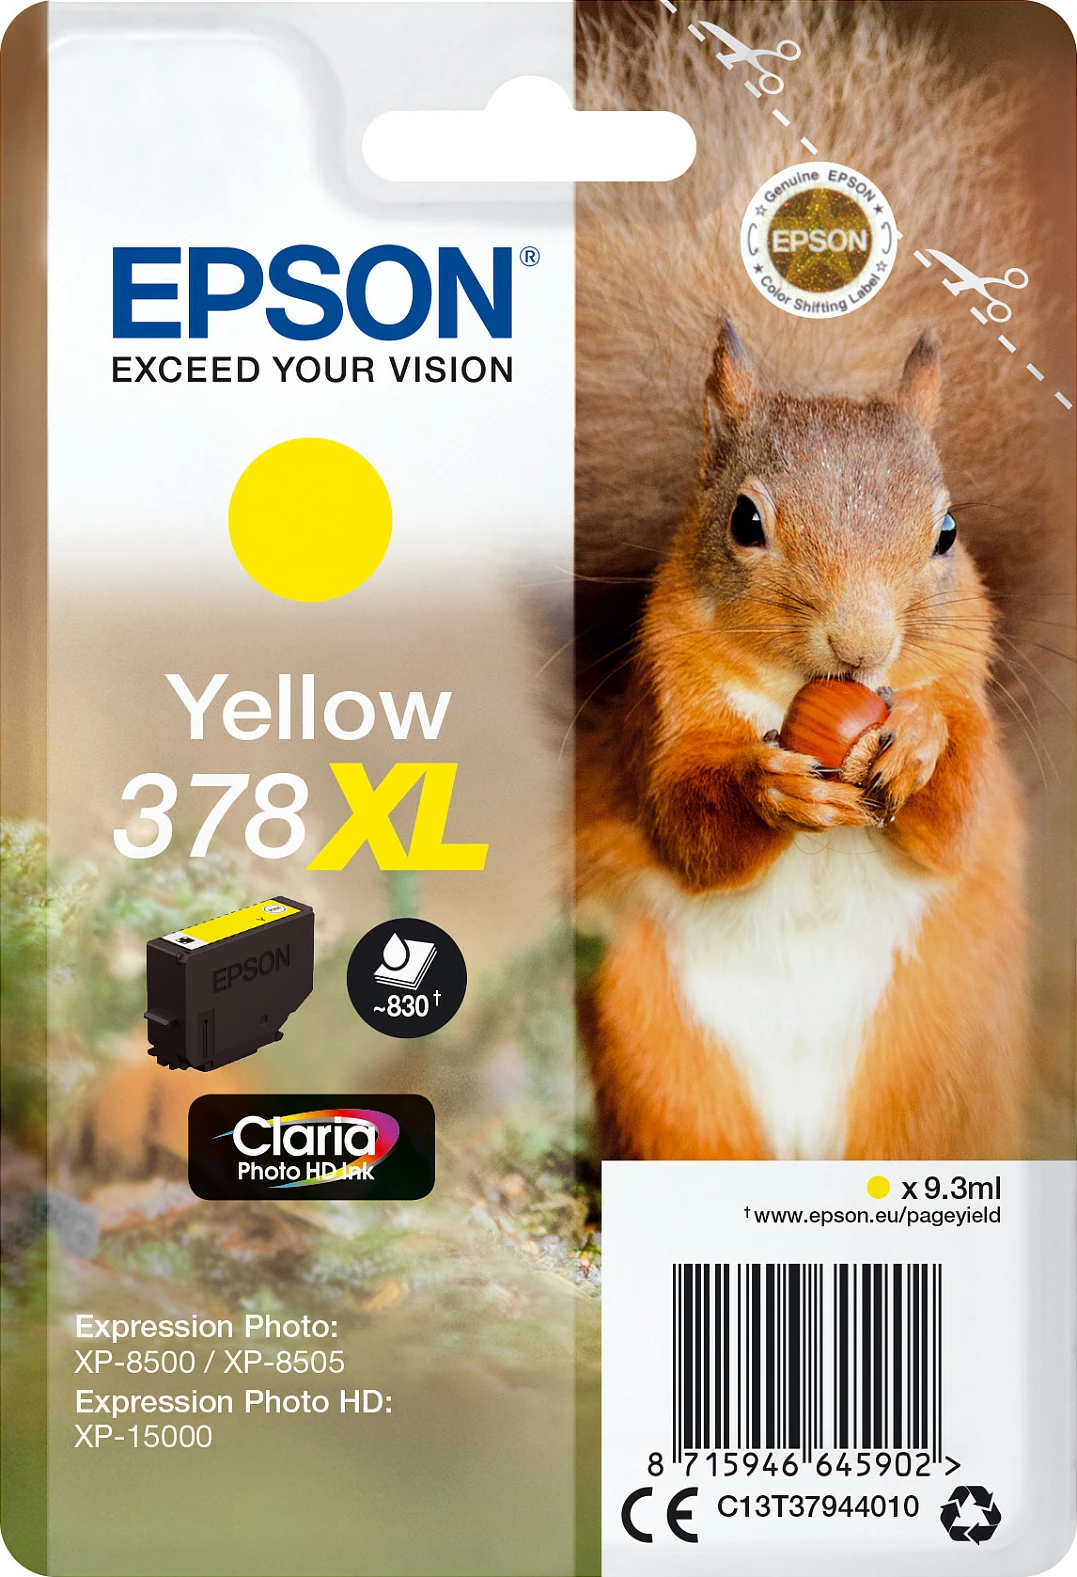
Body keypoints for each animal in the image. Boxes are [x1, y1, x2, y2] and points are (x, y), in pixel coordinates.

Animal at [573, 1, 1072, 1161]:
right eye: (745, 521)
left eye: (947, 532)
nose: (862, 647)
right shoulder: (663, 710)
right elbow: (685, 818)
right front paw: (772, 786)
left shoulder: (971, 702)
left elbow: (958, 811)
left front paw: (920, 742)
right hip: (660, 1059)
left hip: (937, 1066)